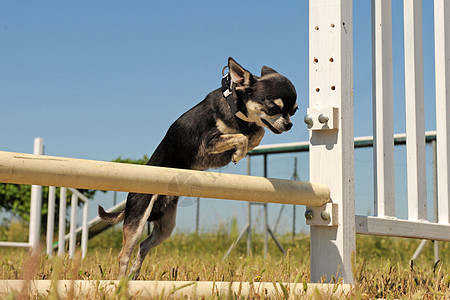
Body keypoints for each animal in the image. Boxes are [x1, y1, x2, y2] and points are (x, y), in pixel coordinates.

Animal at [100, 58, 300, 278]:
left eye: (294, 111)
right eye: (272, 109)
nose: (289, 124)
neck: (234, 109)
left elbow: (257, 134)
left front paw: (245, 146)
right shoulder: (209, 142)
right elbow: (240, 137)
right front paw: (238, 153)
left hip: (166, 227)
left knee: (144, 246)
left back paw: (134, 275)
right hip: (137, 218)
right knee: (124, 255)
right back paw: (121, 281)